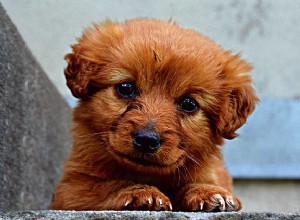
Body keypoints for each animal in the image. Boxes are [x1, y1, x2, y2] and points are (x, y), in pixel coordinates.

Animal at [50, 18, 256, 211]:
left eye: (189, 104)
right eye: (126, 88)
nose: (146, 140)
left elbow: (199, 182)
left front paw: (209, 192)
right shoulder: (70, 189)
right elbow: (108, 185)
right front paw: (141, 192)